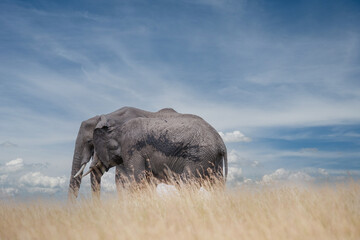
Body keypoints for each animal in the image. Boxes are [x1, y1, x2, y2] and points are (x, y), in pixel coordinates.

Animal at [83, 112, 228, 188]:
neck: (118, 130)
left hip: (200, 155)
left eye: (96, 153)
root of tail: (221, 143)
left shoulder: (132, 149)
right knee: (216, 184)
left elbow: (138, 178)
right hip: (212, 158)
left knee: (187, 182)